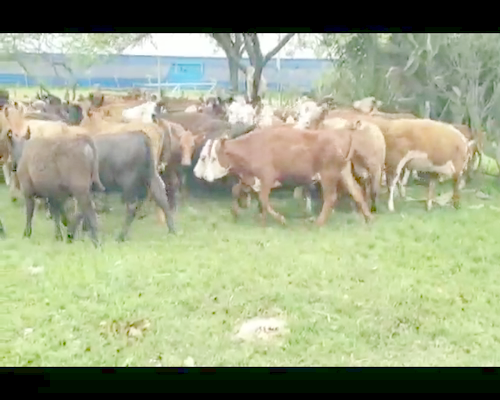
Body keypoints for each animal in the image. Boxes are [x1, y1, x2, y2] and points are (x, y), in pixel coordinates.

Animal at [193, 126, 374, 225]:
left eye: (209, 158)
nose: (198, 173)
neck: (251, 147)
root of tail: (341, 134)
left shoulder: (267, 178)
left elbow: (264, 200)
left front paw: (279, 219)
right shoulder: (249, 178)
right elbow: (237, 190)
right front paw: (240, 214)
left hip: (328, 175)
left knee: (330, 198)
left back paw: (318, 223)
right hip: (344, 172)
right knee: (357, 192)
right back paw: (368, 218)